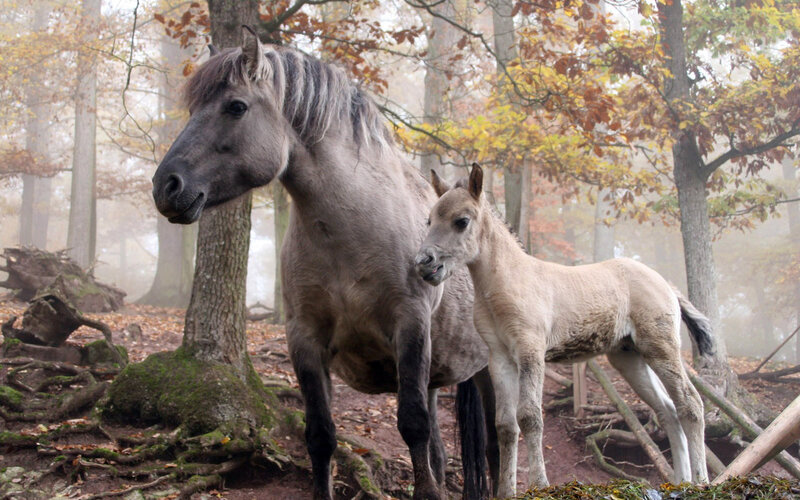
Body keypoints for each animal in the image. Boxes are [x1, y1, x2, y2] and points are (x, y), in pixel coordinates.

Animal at [151, 31, 498, 500]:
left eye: (236, 106)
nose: (166, 187)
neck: (350, 234)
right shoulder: (304, 339)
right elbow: (320, 435)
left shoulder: (410, 326)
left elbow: (412, 426)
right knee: (441, 453)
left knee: (497, 448)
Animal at [415, 163, 713, 496]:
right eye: (430, 220)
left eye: (461, 221)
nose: (424, 263)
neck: (508, 282)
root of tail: (667, 285)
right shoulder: (500, 358)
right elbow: (505, 424)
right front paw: (506, 492)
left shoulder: (531, 351)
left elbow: (530, 417)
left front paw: (540, 484)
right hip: (629, 357)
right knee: (668, 411)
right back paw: (680, 482)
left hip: (661, 348)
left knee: (690, 404)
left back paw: (701, 480)